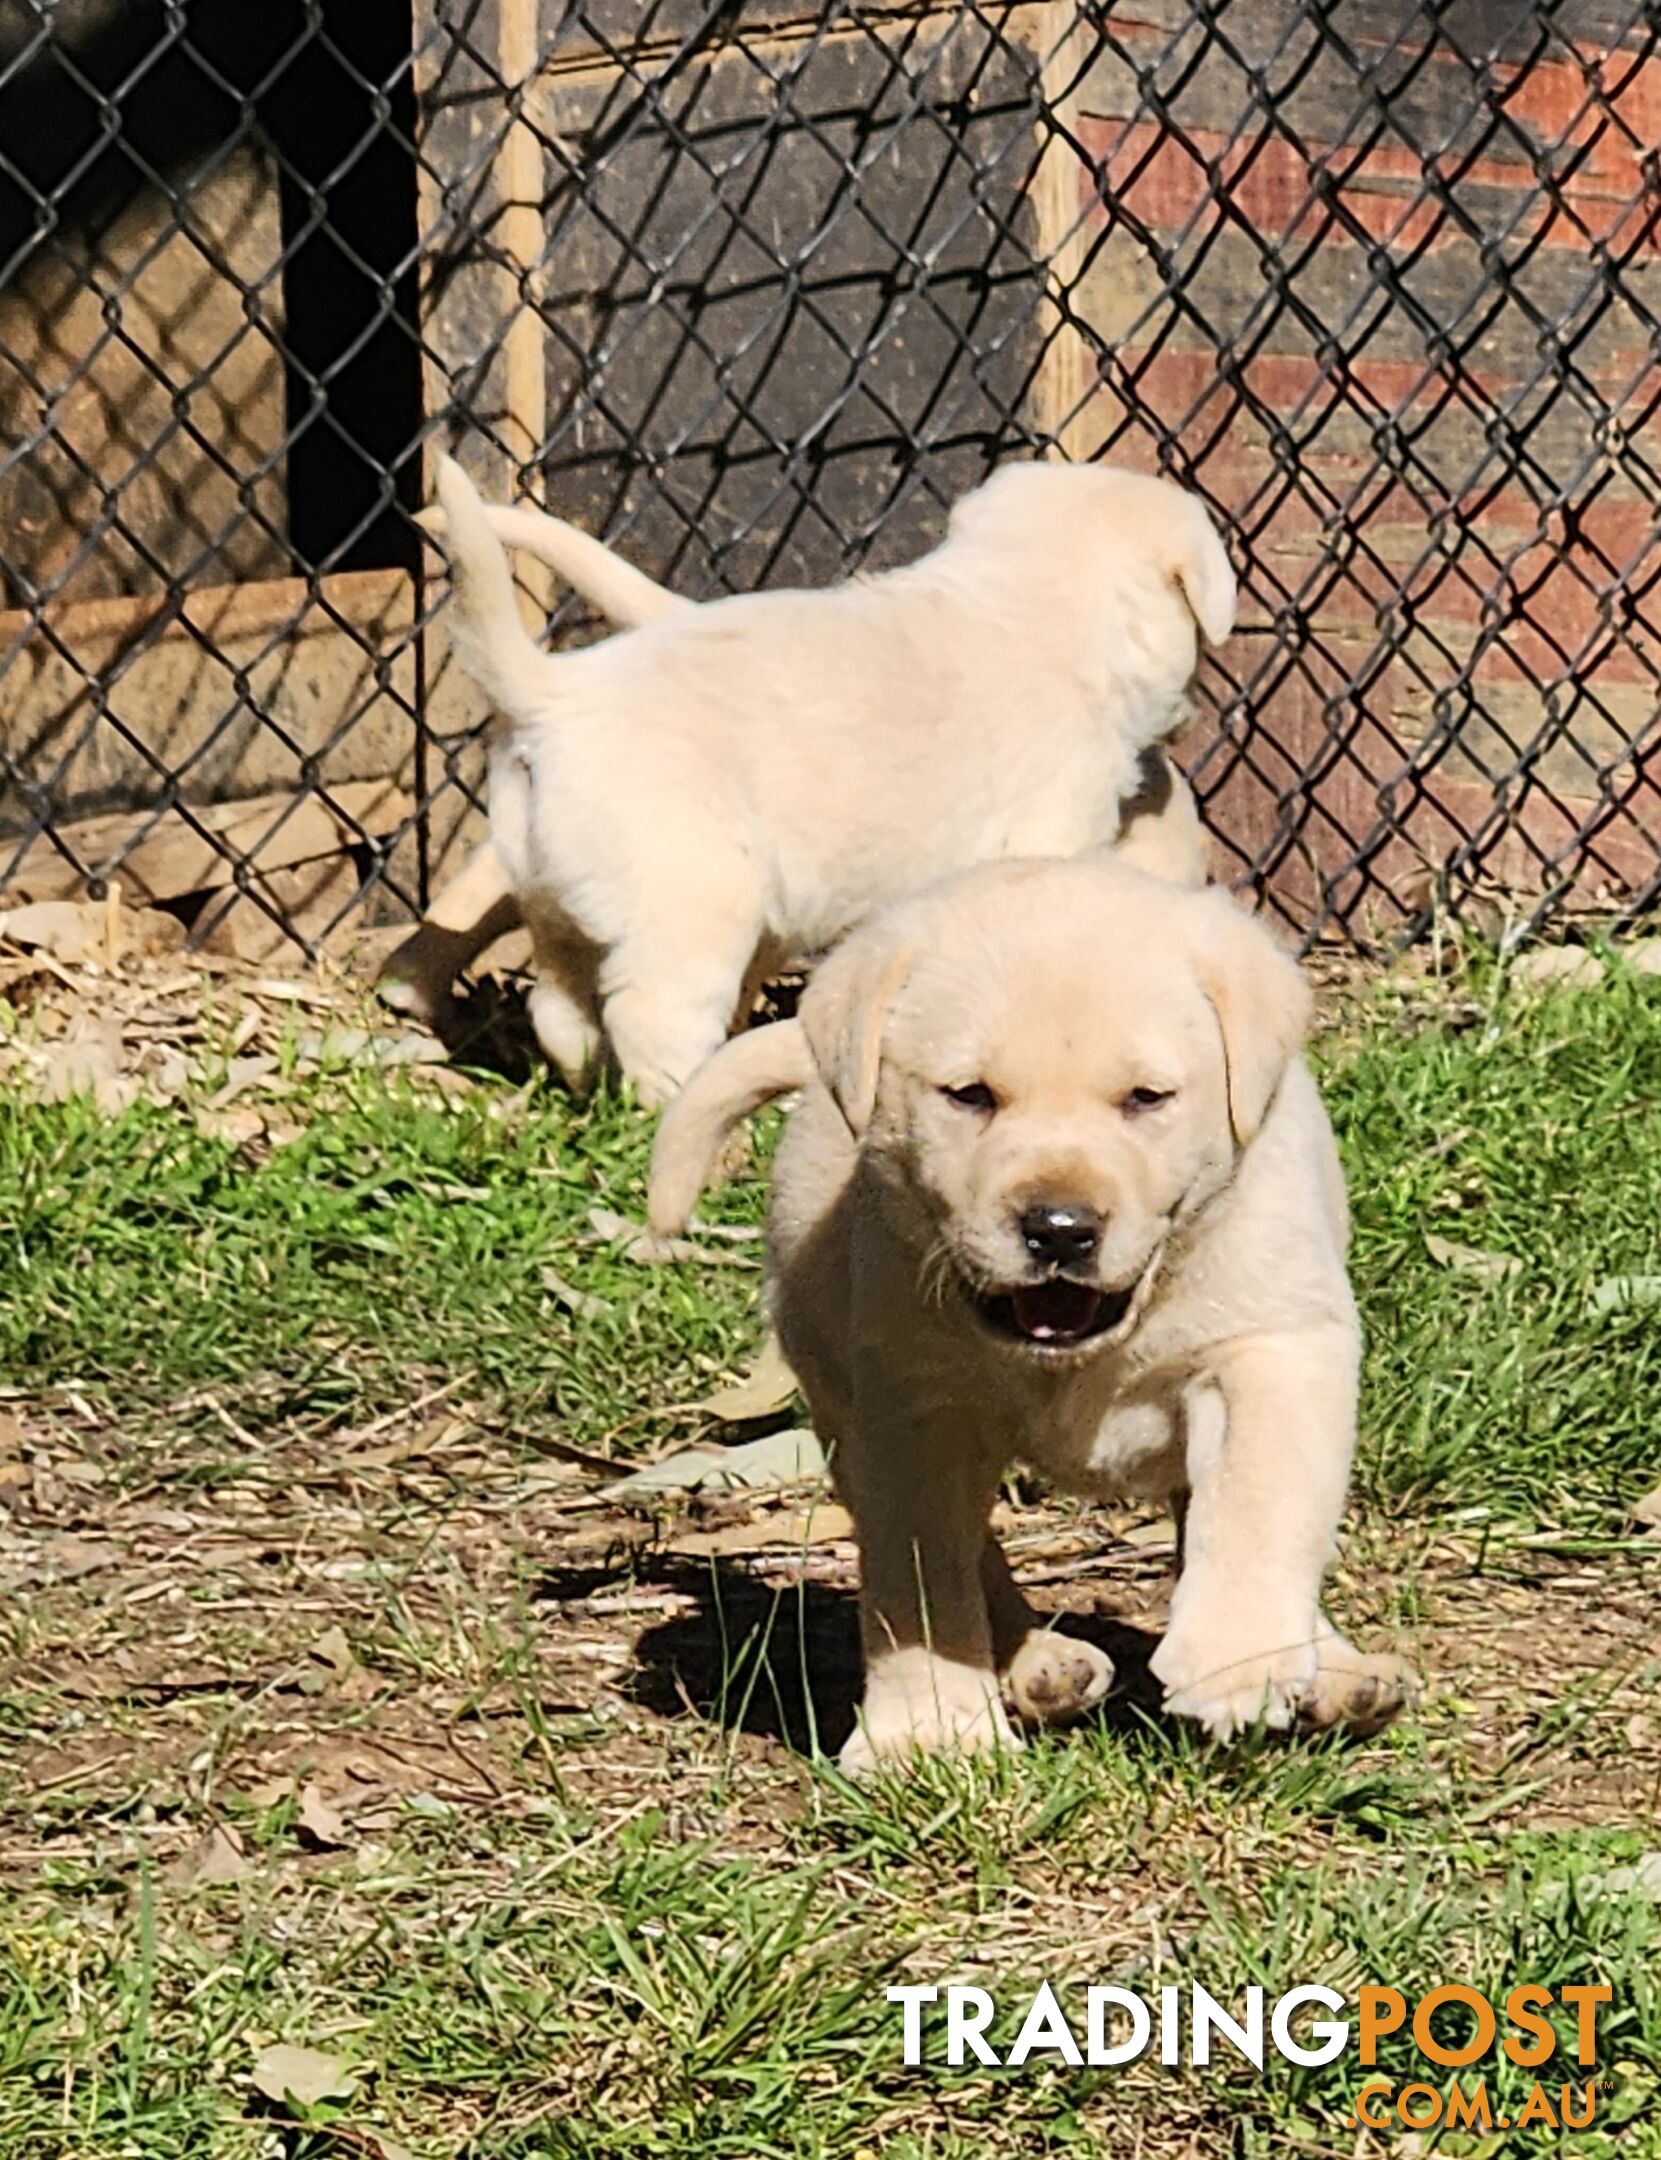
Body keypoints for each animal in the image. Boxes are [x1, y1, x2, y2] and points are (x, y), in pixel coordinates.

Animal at [427, 451, 1226, 1097]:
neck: (1025, 600)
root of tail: (554, 694)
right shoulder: (1050, 831)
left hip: (552, 898)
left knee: (558, 1006)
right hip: (689, 910)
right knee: (655, 1021)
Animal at [643, 855, 1399, 1771]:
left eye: (1146, 1098)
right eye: (969, 1096)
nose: (1060, 1228)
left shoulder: (1271, 1347)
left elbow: (1258, 1503)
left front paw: (1239, 1663)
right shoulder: (914, 1409)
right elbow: (922, 1577)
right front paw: (928, 1728)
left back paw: (1334, 1672)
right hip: (832, 1385)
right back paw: (1036, 1664)